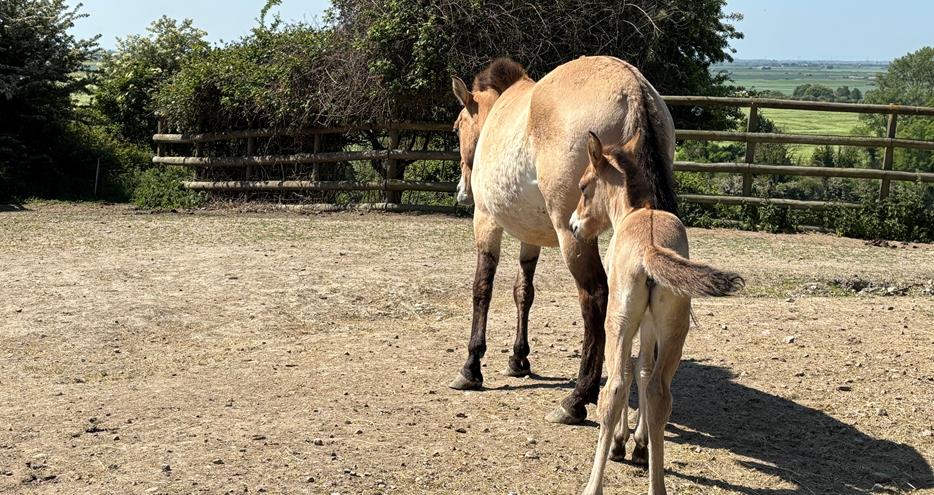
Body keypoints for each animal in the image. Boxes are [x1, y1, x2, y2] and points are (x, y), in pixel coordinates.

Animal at [448, 55, 678, 425]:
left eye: (457, 128)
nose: (461, 190)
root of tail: (633, 89)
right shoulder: (531, 238)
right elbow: (523, 292)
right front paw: (519, 359)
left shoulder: (485, 222)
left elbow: (482, 288)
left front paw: (471, 367)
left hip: (574, 237)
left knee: (595, 297)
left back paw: (577, 399)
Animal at [571, 132, 744, 495]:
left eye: (583, 186)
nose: (574, 226)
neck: (636, 212)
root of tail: (650, 248)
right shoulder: (650, 327)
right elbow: (644, 371)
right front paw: (640, 444)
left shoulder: (629, 325)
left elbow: (628, 374)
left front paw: (623, 442)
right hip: (675, 330)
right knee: (659, 392)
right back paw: (656, 482)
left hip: (618, 322)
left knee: (614, 388)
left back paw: (594, 483)